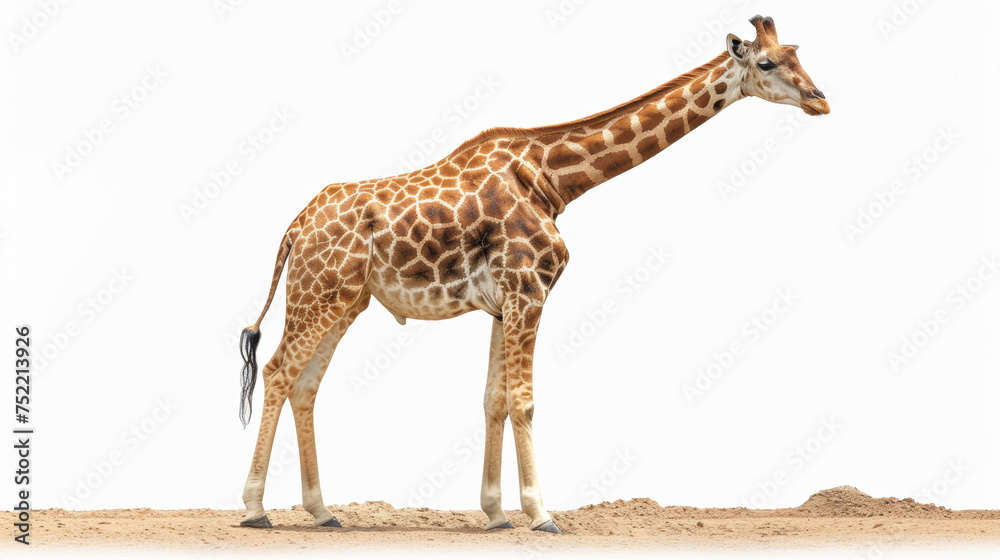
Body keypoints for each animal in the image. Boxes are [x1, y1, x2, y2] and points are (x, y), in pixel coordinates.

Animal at [236, 15, 828, 533]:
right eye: (768, 62)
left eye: (798, 53)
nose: (820, 99)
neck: (553, 180)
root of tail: (295, 226)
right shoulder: (529, 291)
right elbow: (524, 401)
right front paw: (543, 515)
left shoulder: (504, 304)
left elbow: (493, 400)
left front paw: (496, 514)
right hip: (318, 293)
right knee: (278, 371)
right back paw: (255, 509)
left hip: (345, 300)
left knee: (306, 384)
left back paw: (321, 512)